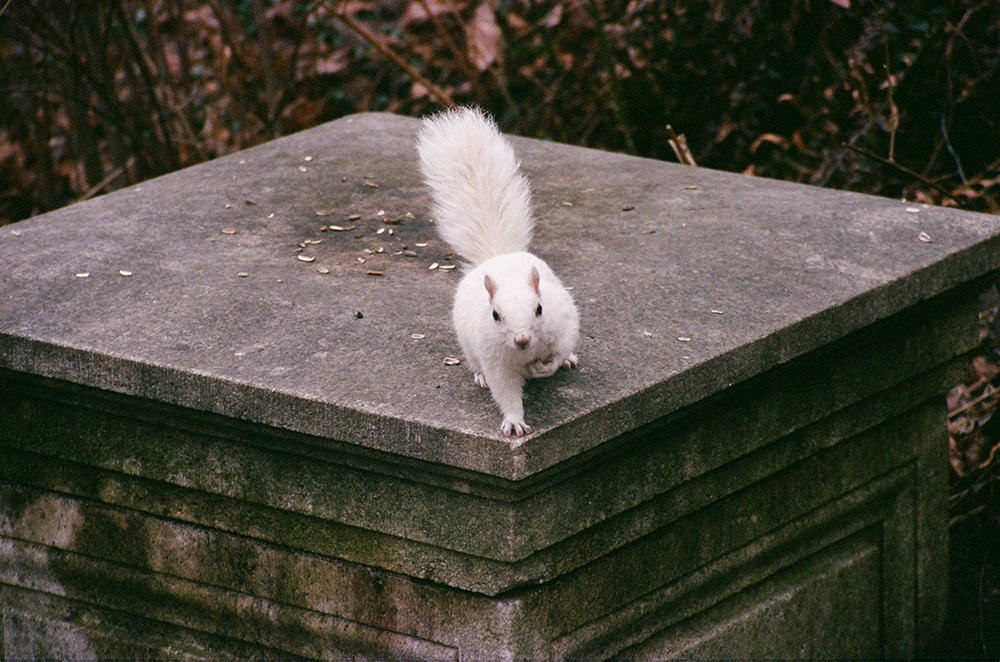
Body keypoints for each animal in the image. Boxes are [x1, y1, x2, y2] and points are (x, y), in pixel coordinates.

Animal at [417, 107, 580, 437]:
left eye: (539, 308)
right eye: (496, 315)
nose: (522, 339)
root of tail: (497, 256)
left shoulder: (563, 323)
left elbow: (558, 349)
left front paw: (549, 365)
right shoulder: (496, 360)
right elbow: (504, 391)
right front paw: (514, 421)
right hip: (469, 346)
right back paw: (479, 376)